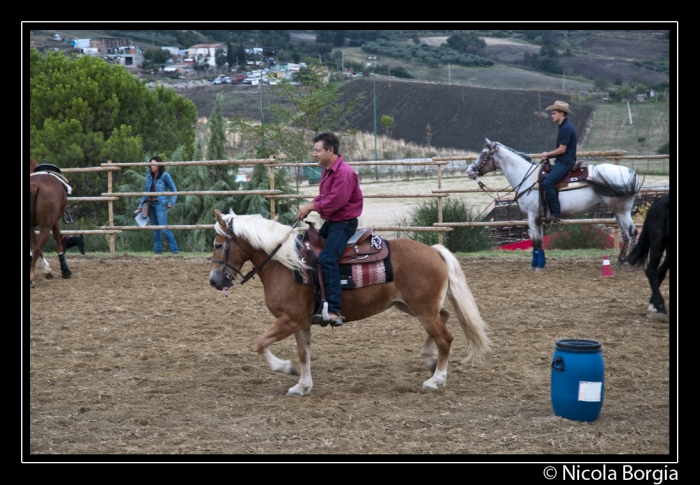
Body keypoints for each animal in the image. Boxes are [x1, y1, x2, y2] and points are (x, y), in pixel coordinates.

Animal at [28, 155, 72, 286]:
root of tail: (36, 185)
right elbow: (59, 245)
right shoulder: (55, 223)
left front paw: (47, 270)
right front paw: (65, 271)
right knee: (37, 248)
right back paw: (31, 279)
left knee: (35, 247)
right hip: (46, 227)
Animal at [208, 207, 492, 394]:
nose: (214, 281)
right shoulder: (300, 322)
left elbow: (261, 343)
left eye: (219, 245)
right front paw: (302, 384)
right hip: (412, 307)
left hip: (422, 309)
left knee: (445, 338)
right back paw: (430, 361)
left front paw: (285, 368)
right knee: (443, 319)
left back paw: (436, 380)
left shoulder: (290, 320)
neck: (288, 264)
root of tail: (434, 250)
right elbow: (303, 353)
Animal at [464, 138, 640, 270]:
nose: (469, 171)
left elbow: (535, 241)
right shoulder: (539, 218)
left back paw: (630, 265)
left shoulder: (532, 216)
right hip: (617, 211)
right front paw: (540, 263)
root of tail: (630, 173)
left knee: (631, 232)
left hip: (622, 210)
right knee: (625, 234)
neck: (527, 177)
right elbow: (539, 241)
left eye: (483, 154)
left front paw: (536, 266)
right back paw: (620, 262)